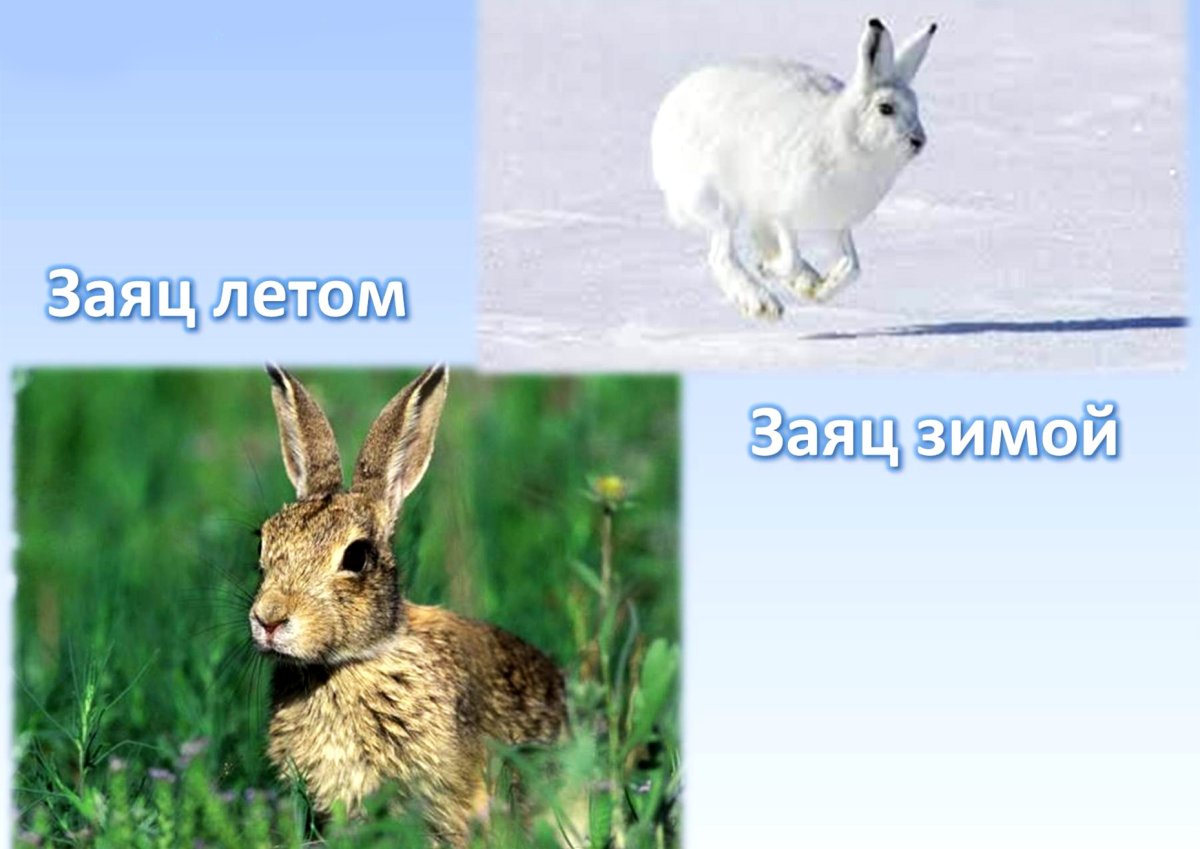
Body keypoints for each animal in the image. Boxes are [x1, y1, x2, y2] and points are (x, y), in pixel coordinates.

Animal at [651, 17, 937, 318]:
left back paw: (803, 280)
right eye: (885, 108)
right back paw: (762, 303)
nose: (919, 141)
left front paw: (819, 289)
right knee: (721, 255)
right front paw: (770, 270)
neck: (847, 137)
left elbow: (853, 267)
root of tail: (667, 112)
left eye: (916, 106)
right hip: (717, 200)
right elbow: (790, 258)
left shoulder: (836, 222)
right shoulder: (781, 211)